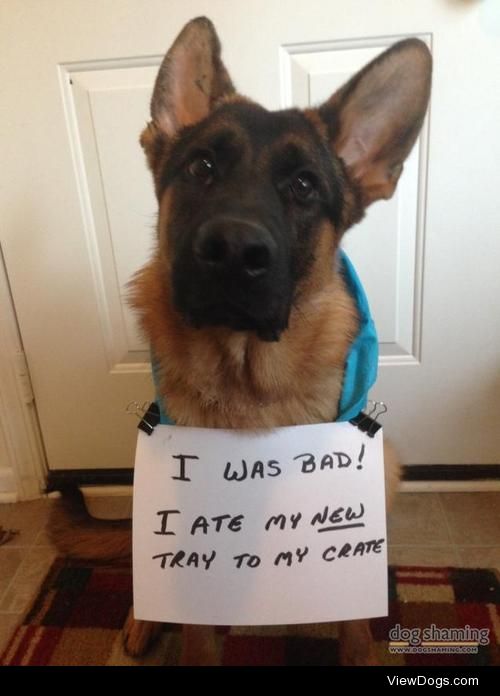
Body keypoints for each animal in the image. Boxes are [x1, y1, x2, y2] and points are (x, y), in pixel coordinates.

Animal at [51, 19, 434, 668]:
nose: (233, 251)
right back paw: (140, 621)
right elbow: (198, 637)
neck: (248, 382)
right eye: (202, 166)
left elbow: (356, 625)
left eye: (304, 185)